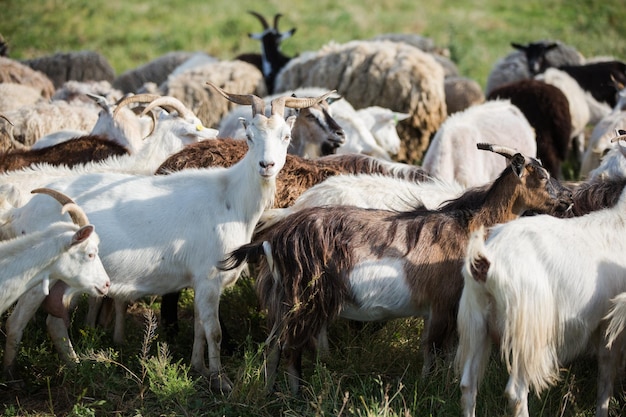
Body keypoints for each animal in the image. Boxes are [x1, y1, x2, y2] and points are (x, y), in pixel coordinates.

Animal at [218, 144, 572, 394]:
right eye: (542, 177)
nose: (568, 198)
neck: (467, 227)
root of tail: (273, 239)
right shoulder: (443, 304)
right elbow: (435, 351)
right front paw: (433, 389)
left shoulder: (438, 310)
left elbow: (438, 352)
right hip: (306, 299)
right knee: (290, 347)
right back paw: (297, 394)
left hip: (284, 301)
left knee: (273, 346)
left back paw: (270, 393)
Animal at [454, 186, 626, 417]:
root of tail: (487, 260)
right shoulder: (611, 324)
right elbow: (607, 373)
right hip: (527, 332)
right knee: (515, 392)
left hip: (476, 323)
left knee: (468, 385)